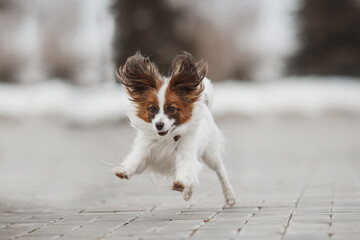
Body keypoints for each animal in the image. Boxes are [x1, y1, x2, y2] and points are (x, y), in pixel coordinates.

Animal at [114, 51, 236, 205]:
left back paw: (229, 195)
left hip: (211, 155)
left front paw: (180, 182)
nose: (159, 125)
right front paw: (125, 170)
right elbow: (135, 160)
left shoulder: (186, 153)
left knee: (221, 172)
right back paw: (188, 192)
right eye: (152, 109)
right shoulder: (145, 151)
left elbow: (186, 169)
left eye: (171, 109)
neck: (166, 138)